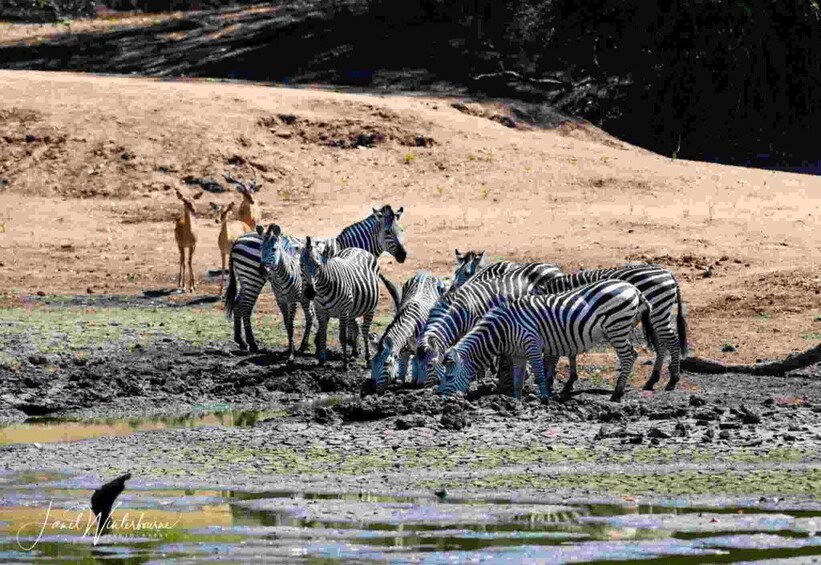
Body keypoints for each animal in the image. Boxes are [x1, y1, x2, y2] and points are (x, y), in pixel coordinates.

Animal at [223, 205, 408, 352]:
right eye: (388, 232)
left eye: (402, 230)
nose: (403, 256)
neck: (349, 247)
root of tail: (238, 240)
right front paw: (330, 341)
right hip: (253, 278)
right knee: (245, 307)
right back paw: (252, 344)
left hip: (246, 279)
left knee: (238, 304)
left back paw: (241, 341)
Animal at [300, 237, 398, 369]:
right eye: (301, 265)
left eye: (317, 265)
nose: (310, 293)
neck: (322, 290)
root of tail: (358, 248)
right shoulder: (320, 311)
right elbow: (323, 334)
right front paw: (322, 360)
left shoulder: (343, 311)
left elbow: (342, 337)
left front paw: (345, 364)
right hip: (353, 308)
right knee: (355, 325)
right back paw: (354, 351)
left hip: (369, 308)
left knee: (365, 331)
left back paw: (367, 358)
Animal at [411, 262, 564, 389]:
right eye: (415, 363)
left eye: (430, 365)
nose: (419, 386)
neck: (460, 313)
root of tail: (553, 267)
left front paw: (477, 378)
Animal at [439, 279, 657, 402]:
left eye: (449, 376)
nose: (440, 398)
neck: (504, 329)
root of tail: (634, 289)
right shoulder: (518, 354)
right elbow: (518, 379)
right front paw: (516, 401)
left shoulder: (532, 344)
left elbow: (539, 372)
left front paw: (543, 397)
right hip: (621, 327)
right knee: (632, 354)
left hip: (616, 327)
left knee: (629, 356)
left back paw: (617, 393)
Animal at [532, 263, 687, 394]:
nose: (539, 383)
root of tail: (668, 273)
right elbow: (571, 350)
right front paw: (570, 381)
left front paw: (568, 381)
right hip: (655, 315)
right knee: (662, 344)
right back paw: (652, 380)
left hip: (658, 312)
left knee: (672, 342)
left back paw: (672, 380)